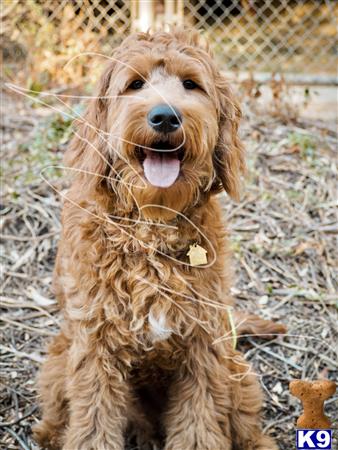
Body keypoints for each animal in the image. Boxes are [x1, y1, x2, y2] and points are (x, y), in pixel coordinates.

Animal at [34, 29, 284, 450]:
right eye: (134, 84)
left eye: (191, 84)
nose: (165, 116)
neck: (152, 227)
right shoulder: (95, 346)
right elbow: (94, 420)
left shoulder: (204, 345)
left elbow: (199, 421)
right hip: (58, 363)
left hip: (236, 369)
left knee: (247, 423)